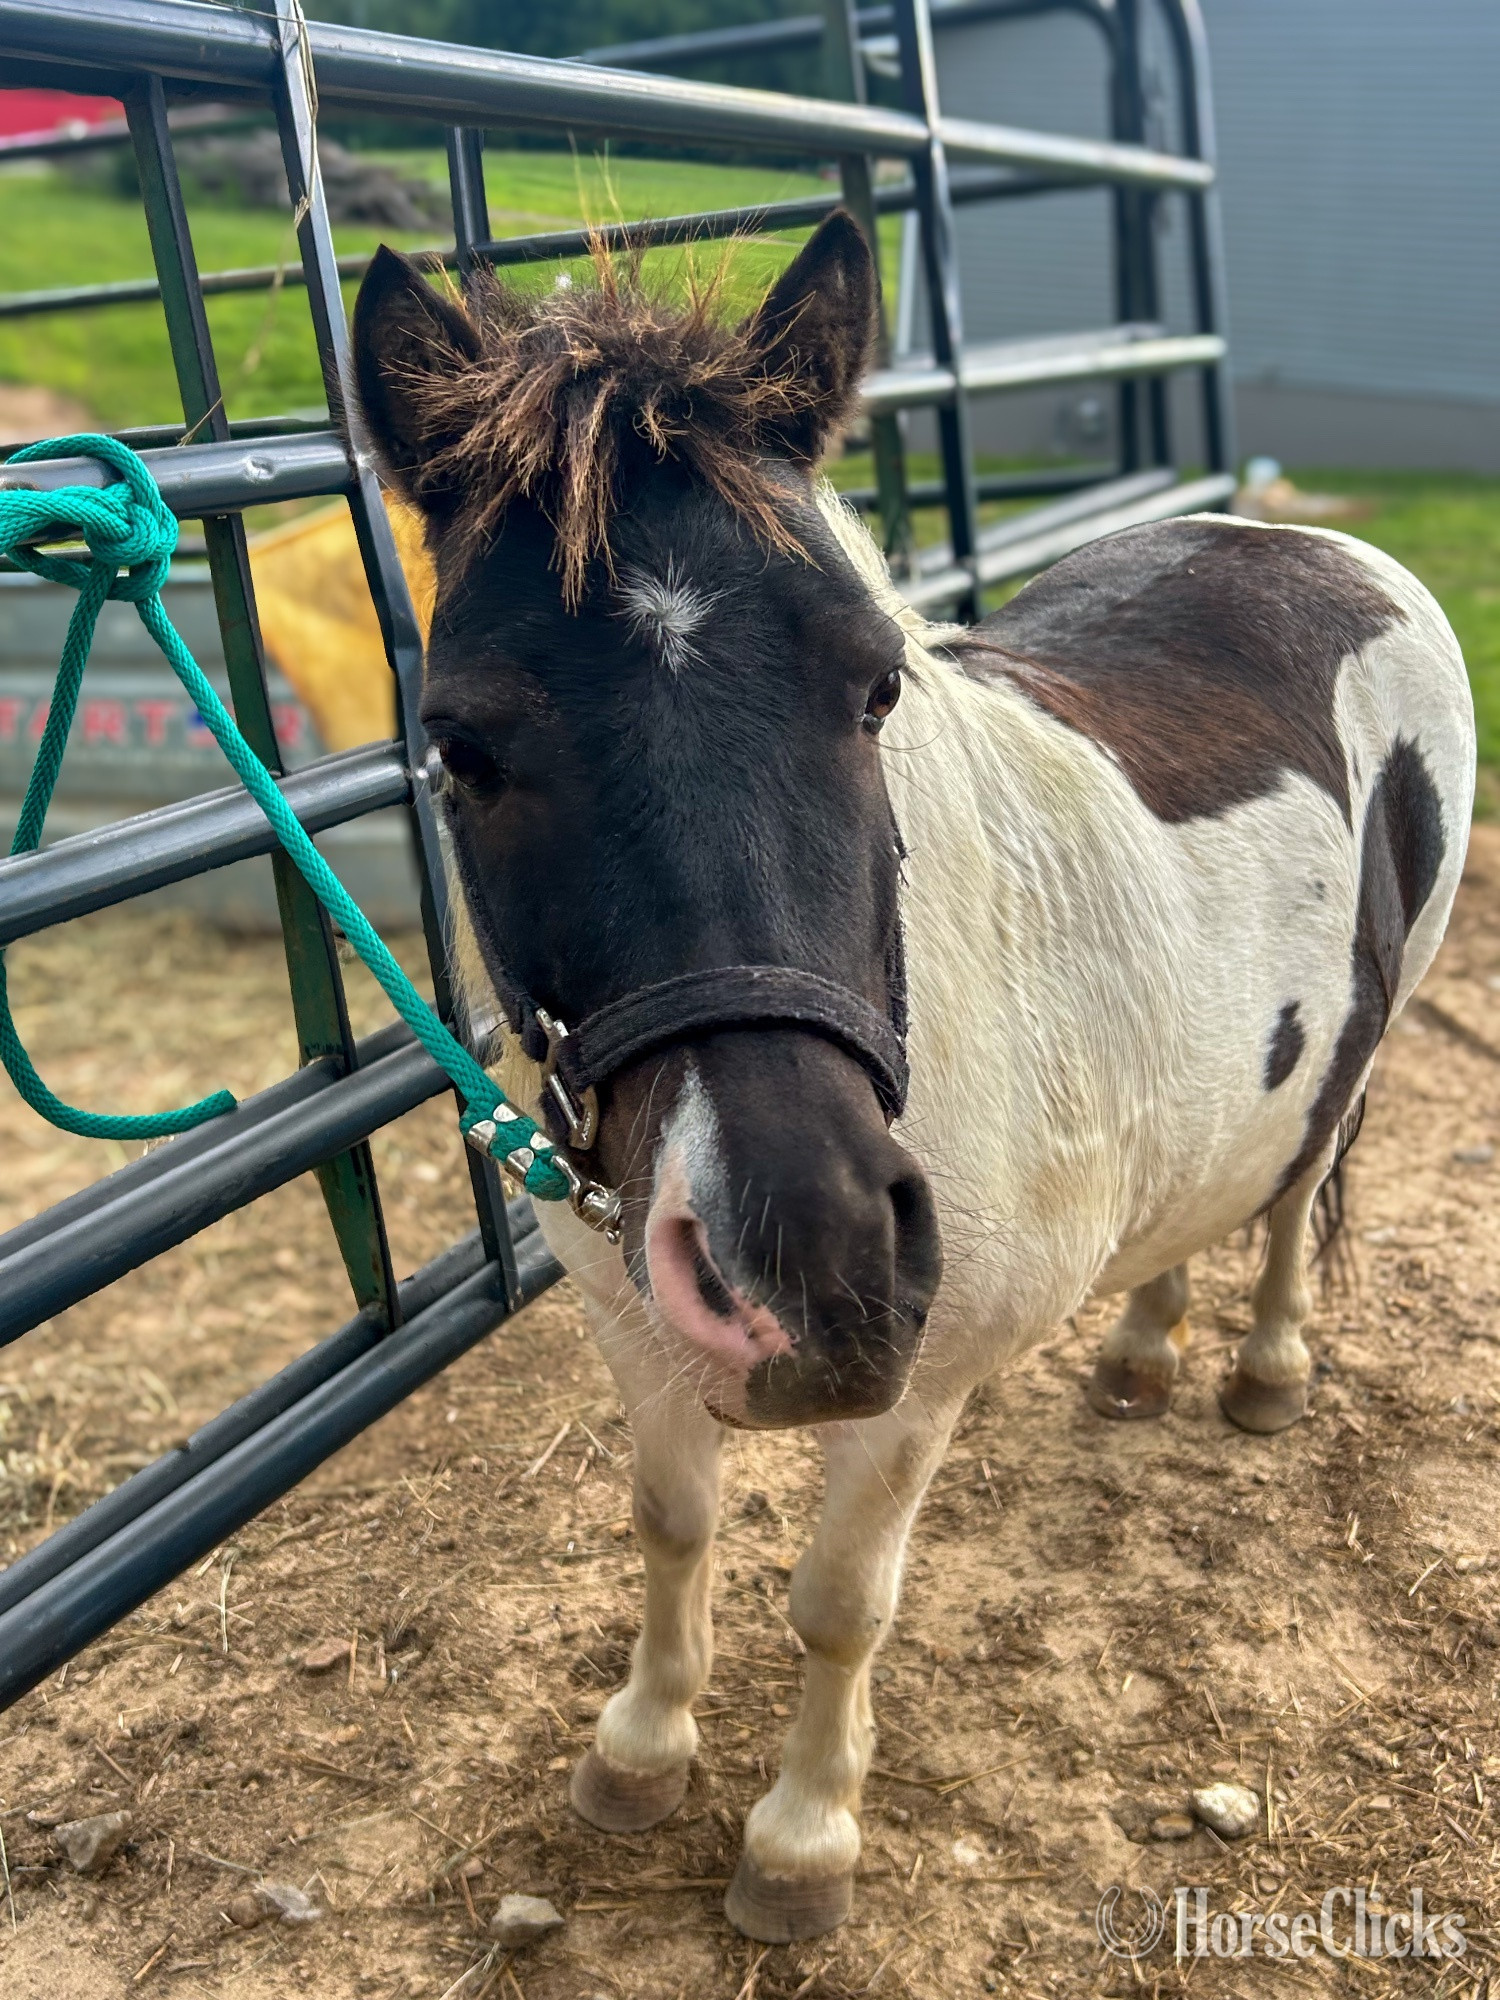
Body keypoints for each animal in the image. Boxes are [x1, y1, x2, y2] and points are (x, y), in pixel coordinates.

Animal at [351, 213, 1475, 1943]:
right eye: (460, 746)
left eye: (876, 687)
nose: (808, 1256)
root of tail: (1305, 540)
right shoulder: (631, 1329)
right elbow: (670, 1526)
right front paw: (639, 1750)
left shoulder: (922, 1383)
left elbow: (836, 1604)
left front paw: (802, 1839)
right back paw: (1143, 1349)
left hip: (1375, 1029)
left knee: (1294, 1195)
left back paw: (1267, 1367)